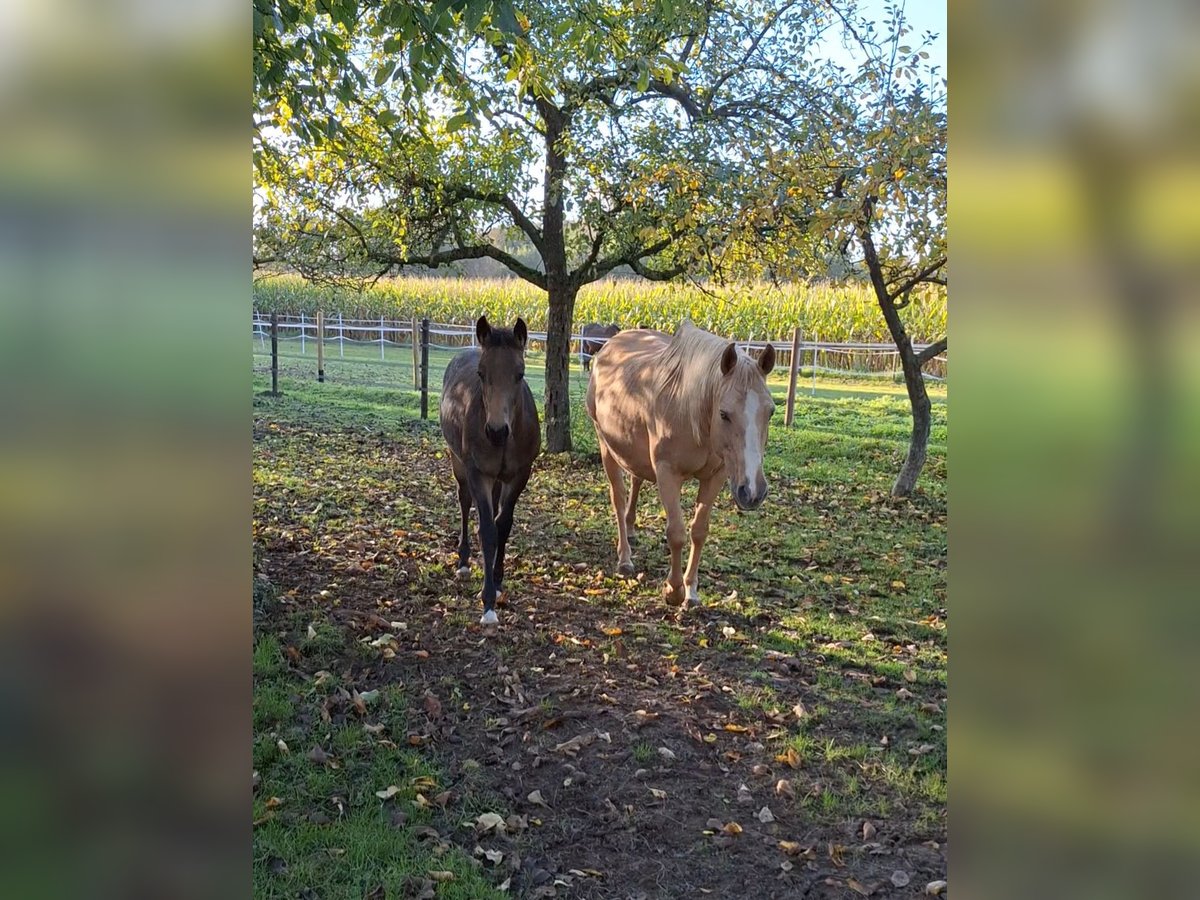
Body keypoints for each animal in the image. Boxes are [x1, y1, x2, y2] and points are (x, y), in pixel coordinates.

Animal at [441, 319, 540, 628]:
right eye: (481, 373)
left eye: (520, 373)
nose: (496, 432)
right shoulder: (478, 473)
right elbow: (487, 529)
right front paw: (488, 606)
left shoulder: (520, 474)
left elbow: (503, 524)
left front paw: (496, 582)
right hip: (458, 463)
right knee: (464, 502)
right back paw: (463, 563)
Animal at [583, 321, 777, 609]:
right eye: (724, 413)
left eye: (771, 411)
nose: (752, 491)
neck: (690, 406)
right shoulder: (668, 473)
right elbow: (676, 532)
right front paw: (673, 590)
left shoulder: (716, 476)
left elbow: (699, 531)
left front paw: (691, 590)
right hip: (606, 445)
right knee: (618, 497)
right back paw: (625, 558)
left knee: (636, 480)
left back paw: (630, 529)